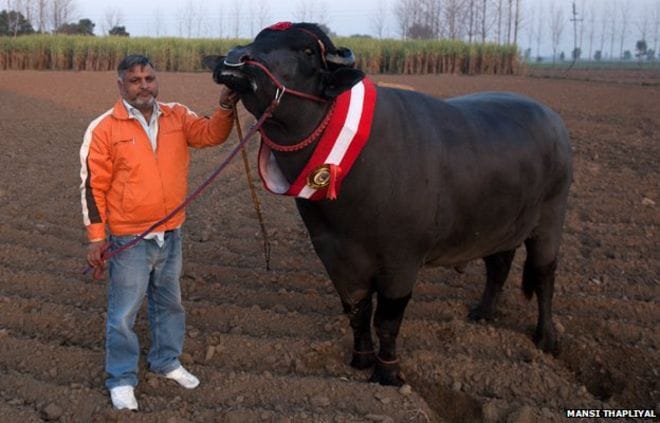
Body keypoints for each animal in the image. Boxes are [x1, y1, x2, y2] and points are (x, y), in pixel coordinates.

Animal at [203, 22, 573, 386]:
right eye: (259, 38)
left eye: (306, 51)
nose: (235, 59)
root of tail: (553, 121)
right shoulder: (334, 256)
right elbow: (357, 311)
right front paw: (361, 358)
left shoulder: (401, 261)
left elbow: (387, 320)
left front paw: (388, 372)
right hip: (500, 226)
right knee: (498, 266)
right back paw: (483, 313)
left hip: (550, 222)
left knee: (544, 276)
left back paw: (547, 338)